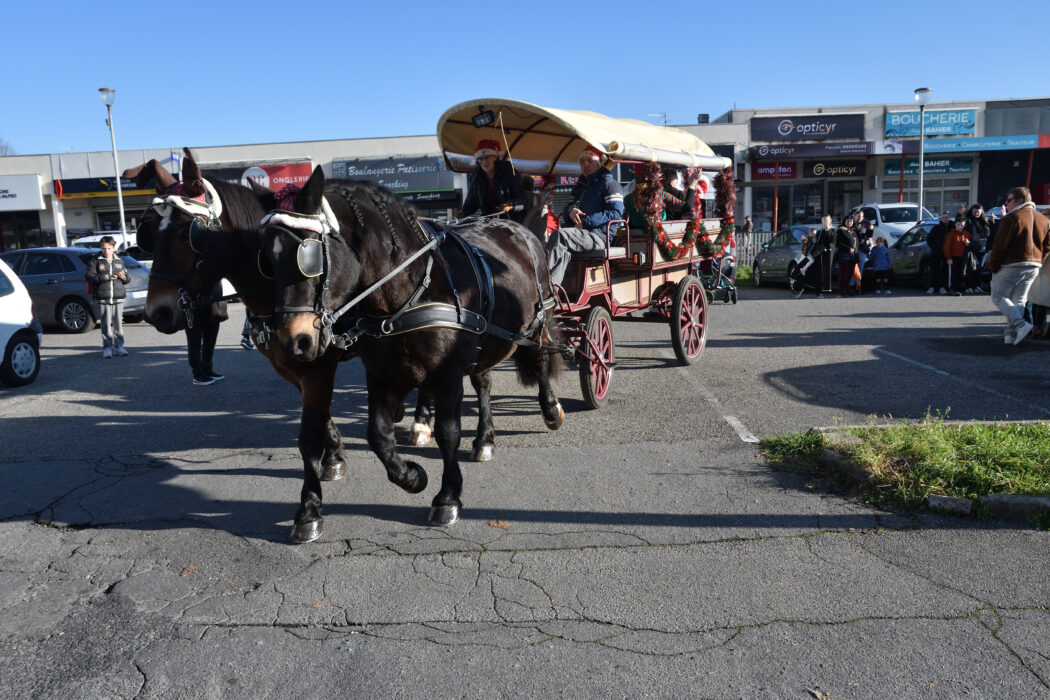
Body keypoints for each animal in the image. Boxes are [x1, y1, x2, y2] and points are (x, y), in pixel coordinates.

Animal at [256, 165, 567, 537]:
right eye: (267, 261)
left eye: (309, 256)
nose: (293, 340)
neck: (404, 293)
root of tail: (519, 229)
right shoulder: (380, 374)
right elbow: (377, 435)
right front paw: (411, 477)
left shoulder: (448, 375)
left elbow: (448, 434)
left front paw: (447, 497)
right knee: (484, 383)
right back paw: (485, 439)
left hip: (538, 320)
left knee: (542, 359)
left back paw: (551, 409)